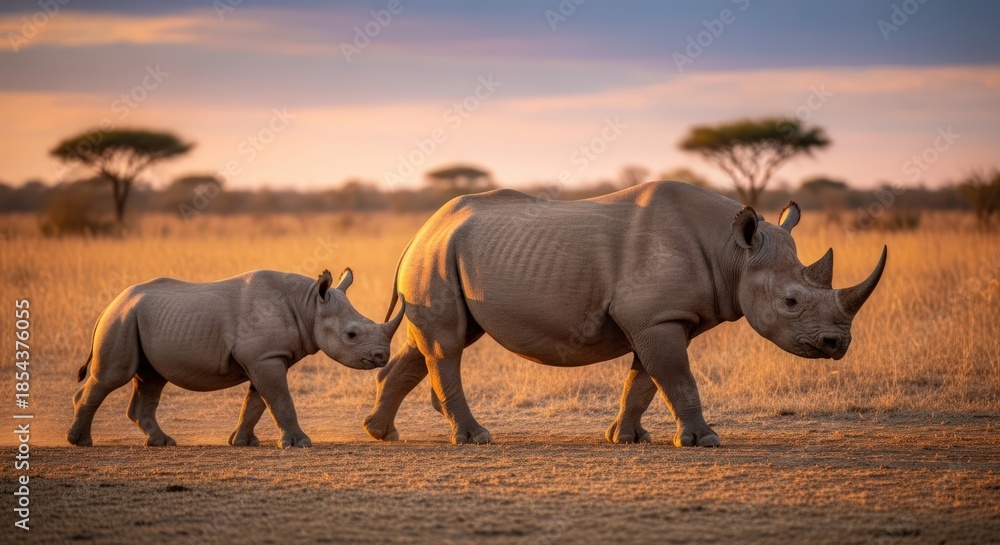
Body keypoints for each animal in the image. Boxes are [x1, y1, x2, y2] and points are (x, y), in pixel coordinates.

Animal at [68, 268, 404, 448]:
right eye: (352, 335)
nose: (382, 356)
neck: (308, 305)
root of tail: (111, 304)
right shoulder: (264, 356)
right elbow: (280, 399)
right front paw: (300, 444)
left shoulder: (263, 356)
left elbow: (257, 401)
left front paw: (242, 442)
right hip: (122, 320)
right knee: (113, 376)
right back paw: (80, 441)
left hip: (136, 319)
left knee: (151, 378)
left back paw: (163, 443)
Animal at [363, 181, 886, 446]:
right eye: (791, 302)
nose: (837, 345)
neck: (733, 252)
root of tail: (420, 229)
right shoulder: (657, 317)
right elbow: (677, 378)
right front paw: (704, 441)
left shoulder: (659, 318)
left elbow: (646, 379)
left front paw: (628, 438)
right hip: (436, 256)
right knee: (447, 346)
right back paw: (475, 439)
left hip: (444, 256)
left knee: (434, 343)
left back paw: (381, 433)